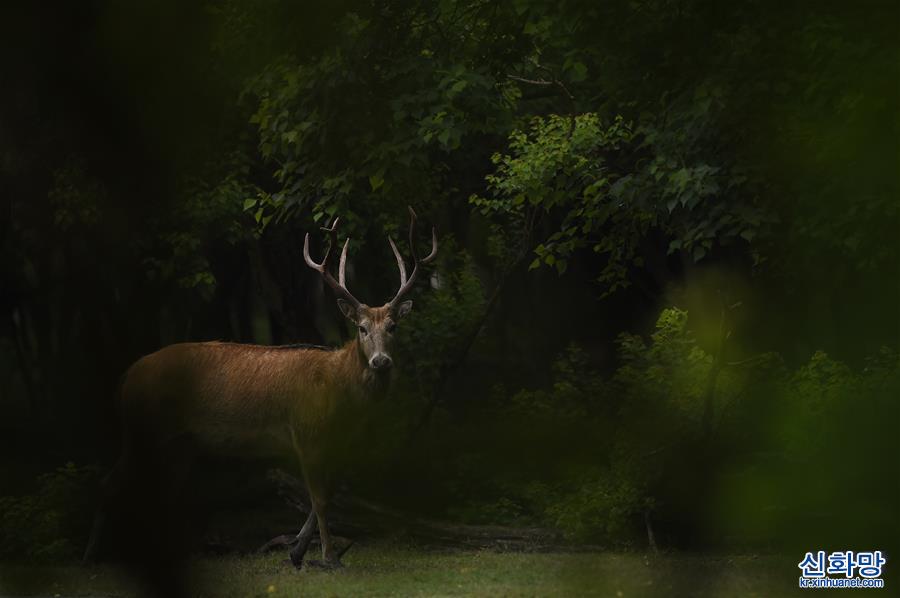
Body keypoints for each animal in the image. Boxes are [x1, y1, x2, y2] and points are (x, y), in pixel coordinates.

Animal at [85, 207, 440, 572]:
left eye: (393, 327)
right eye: (362, 328)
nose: (381, 361)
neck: (338, 392)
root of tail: (126, 377)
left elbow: (326, 496)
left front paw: (297, 551)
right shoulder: (306, 432)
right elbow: (319, 499)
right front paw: (328, 557)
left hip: (179, 444)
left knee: (161, 492)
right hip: (143, 430)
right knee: (111, 483)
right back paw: (90, 558)